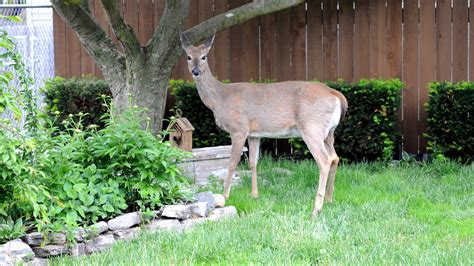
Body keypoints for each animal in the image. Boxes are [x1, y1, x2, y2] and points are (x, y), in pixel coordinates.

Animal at [180, 32, 346, 216]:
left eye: (204, 56)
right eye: (188, 56)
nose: (195, 71)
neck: (220, 99)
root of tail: (335, 94)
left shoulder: (238, 129)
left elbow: (232, 163)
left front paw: (225, 196)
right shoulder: (254, 134)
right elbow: (253, 162)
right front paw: (254, 195)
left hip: (312, 127)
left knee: (324, 160)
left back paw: (316, 208)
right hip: (329, 133)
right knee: (335, 157)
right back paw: (329, 200)